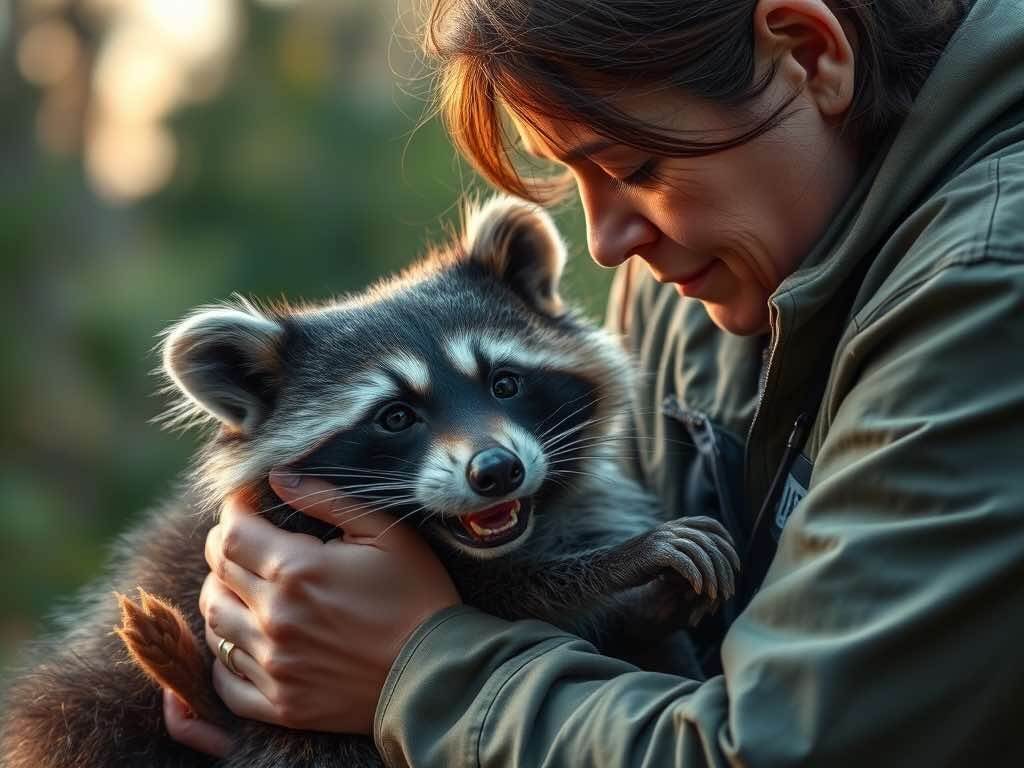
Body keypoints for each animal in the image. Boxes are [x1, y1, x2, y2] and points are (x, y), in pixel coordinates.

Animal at [0, 196, 739, 768]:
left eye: (505, 383)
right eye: (395, 417)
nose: (496, 471)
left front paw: (642, 598)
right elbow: (512, 596)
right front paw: (619, 566)